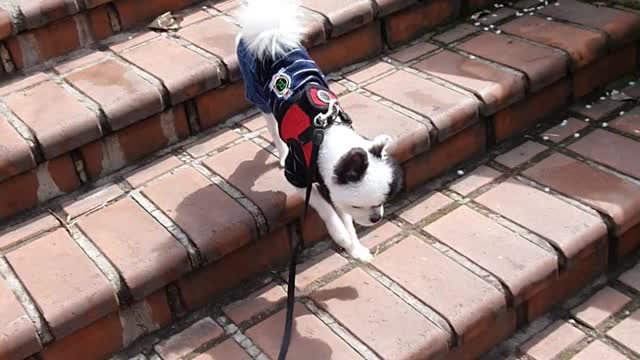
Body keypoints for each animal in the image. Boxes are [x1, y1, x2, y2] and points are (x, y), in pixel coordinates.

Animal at [235, 0, 404, 262]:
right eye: (358, 206)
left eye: (381, 201)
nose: (376, 218)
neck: (326, 133)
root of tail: (269, 31)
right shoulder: (298, 178)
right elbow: (327, 210)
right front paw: (341, 236)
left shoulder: (330, 182)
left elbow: (344, 216)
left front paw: (355, 248)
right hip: (259, 95)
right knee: (272, 126)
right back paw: (281, 152)